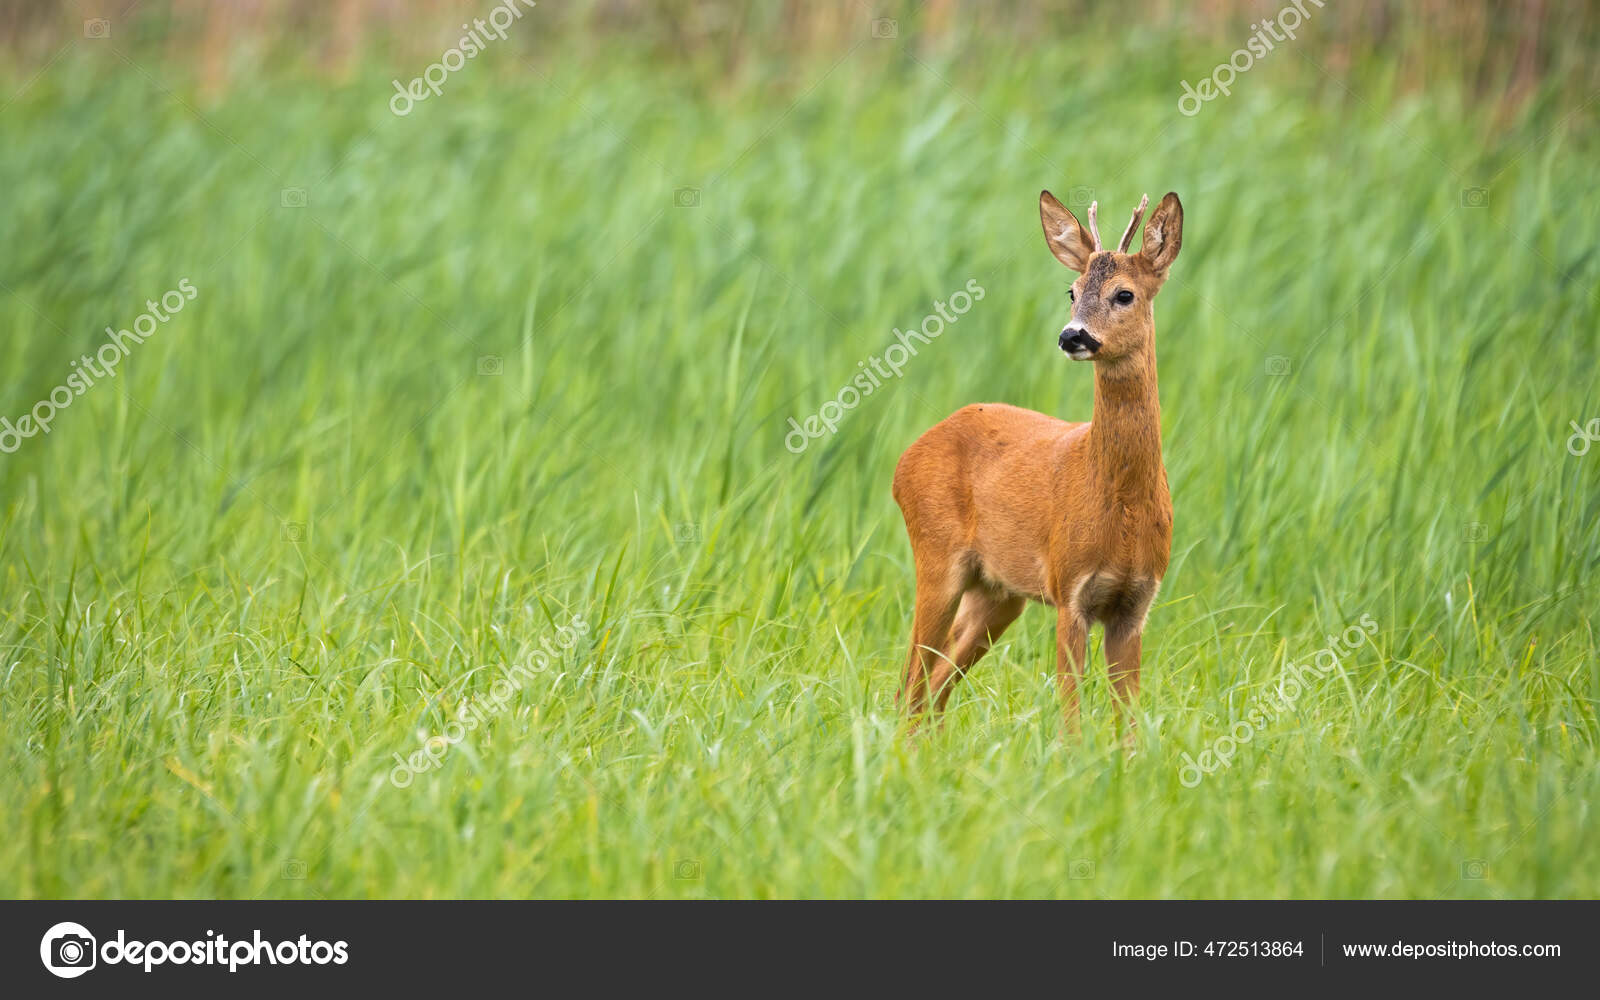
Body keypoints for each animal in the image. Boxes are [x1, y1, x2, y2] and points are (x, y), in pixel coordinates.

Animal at [896, 188, 1184, 732]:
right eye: (1071, 291)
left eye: (1124, 294)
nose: (1073, 336)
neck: (1122, 506)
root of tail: (905, 459)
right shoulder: (1069, 588)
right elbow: (1070, 710)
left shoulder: (1136, 603)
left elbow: (1128, 718)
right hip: (937, 557)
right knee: (910, 683)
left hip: (997, 592)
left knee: (937, 684)